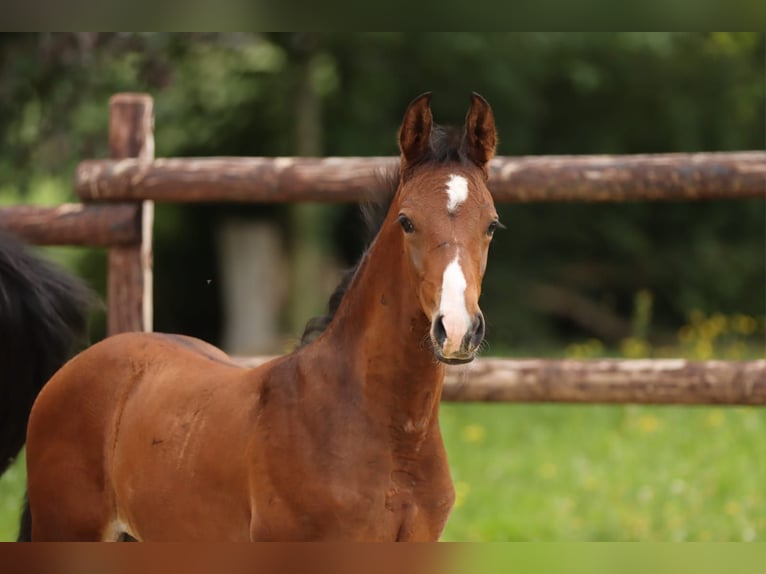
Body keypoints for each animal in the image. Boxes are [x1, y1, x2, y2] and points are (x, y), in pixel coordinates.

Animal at [7, 92, 504, 544]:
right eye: (406, 221)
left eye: (492, 225)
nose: (456, 330)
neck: (389, 434)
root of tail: (70, 370)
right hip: (66, 531)